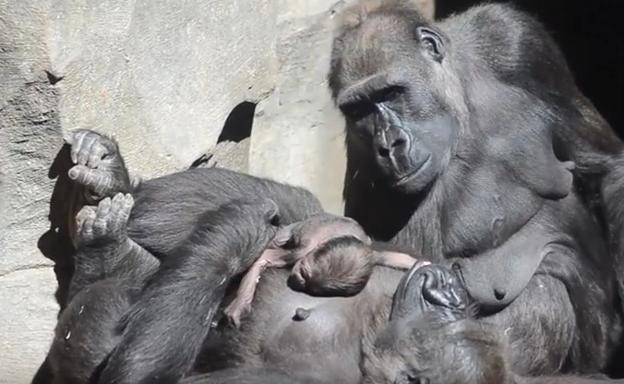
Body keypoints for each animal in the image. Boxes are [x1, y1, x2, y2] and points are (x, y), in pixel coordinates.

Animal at [222, 214, 426, 326]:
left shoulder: (370, 255)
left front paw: (422, 265)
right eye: (303, 273)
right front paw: (241, 303)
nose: (297, 281)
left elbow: (394, 257)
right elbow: (264, 257)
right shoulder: (302, 250)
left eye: (311, 286)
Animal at [330, 0, 620, 378]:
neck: (459, 97)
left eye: (391, 92)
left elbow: (607, 166)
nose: (389, 146)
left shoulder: (515, 40)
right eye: (359, 109)